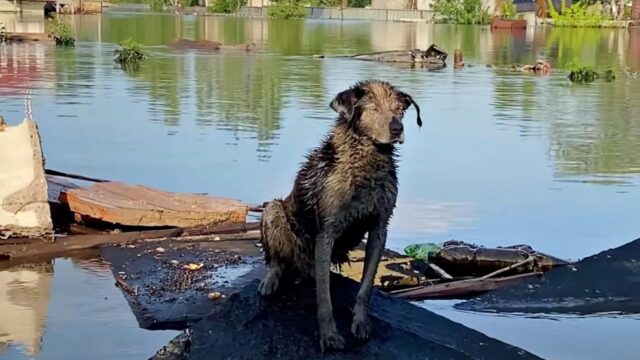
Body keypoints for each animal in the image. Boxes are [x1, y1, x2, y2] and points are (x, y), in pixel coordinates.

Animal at [258, 79, 422, 352]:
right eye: (372, 108)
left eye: (399, 110)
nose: (397, 128)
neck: (367, 162)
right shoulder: (326, 233)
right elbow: (324, 299)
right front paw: (329, 335)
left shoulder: (379, 228)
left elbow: (366, 288)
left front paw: (361, 323)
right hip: (273, 210)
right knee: (277, 261)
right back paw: (271, 281)